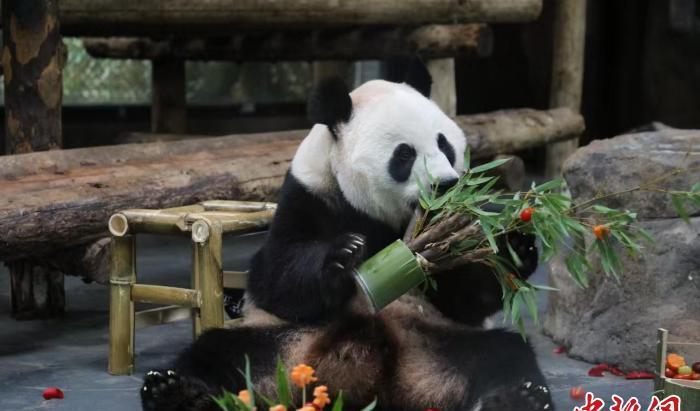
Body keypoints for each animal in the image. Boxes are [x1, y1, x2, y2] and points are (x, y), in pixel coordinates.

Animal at [141, 62, 552, 411]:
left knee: (506, 354)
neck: (384, 217)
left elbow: (465, 297)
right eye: (404, 154)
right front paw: (342, 255)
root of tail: (363, 384)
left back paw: (519, 398)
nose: (445, 184)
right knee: (216, 352)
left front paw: (514, 246)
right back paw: (174, 393)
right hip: (278, 344)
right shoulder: (309, 194)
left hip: (440, 342)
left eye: (445, 144)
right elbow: (276, 275)